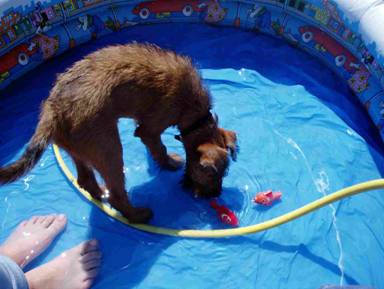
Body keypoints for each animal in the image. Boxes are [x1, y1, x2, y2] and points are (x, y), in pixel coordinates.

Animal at [0, 42, 237, 223]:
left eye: (225, 174)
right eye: (211, 174)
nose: (216, 195)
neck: (197, 118)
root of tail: (52, 110)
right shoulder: (151, 128)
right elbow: (159, 147)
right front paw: (169, 163)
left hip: (80, 148)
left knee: (85, 179)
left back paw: (99, 194)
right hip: (109, 149)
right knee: (116, 195)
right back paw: (137, 214)